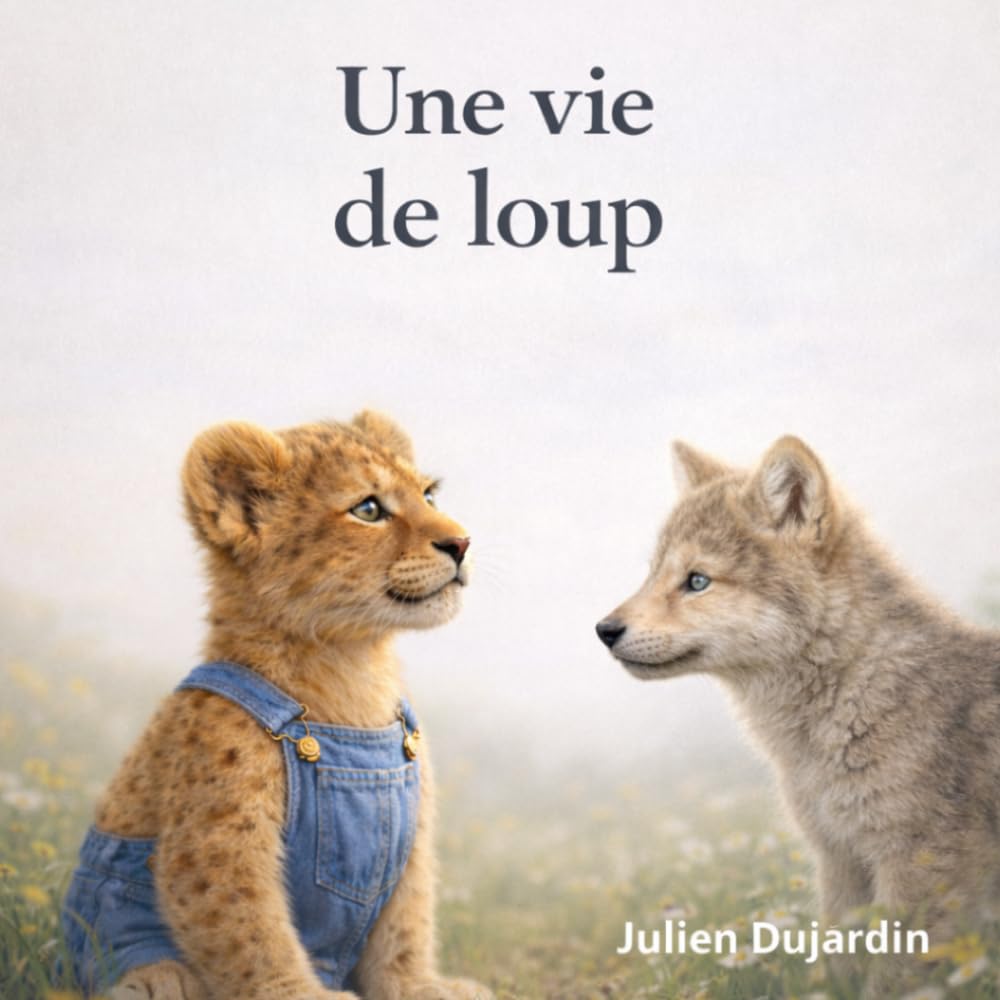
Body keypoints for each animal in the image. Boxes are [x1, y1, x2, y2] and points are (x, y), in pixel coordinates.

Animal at [596, 436, 1000, 989]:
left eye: (697, 581)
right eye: (653, 573)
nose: (604, 630)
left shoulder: (919, 872)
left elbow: (891, 979)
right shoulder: (839, 862)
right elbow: (840, 965)